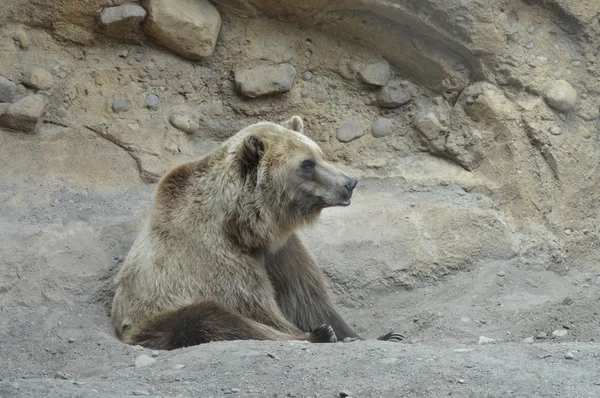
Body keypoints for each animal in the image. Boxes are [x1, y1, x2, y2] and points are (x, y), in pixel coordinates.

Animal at [110, 115, 406, 348]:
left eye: (318, 153)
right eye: (307, 164)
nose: (349, 183)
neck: (245, 226)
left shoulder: (281, 250)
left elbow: (308, 297)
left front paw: (376, 334)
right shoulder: (215, 256)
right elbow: (256, 309)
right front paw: (321, 332)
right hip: (153, 319)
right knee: (206, 319)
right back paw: (316, 336)